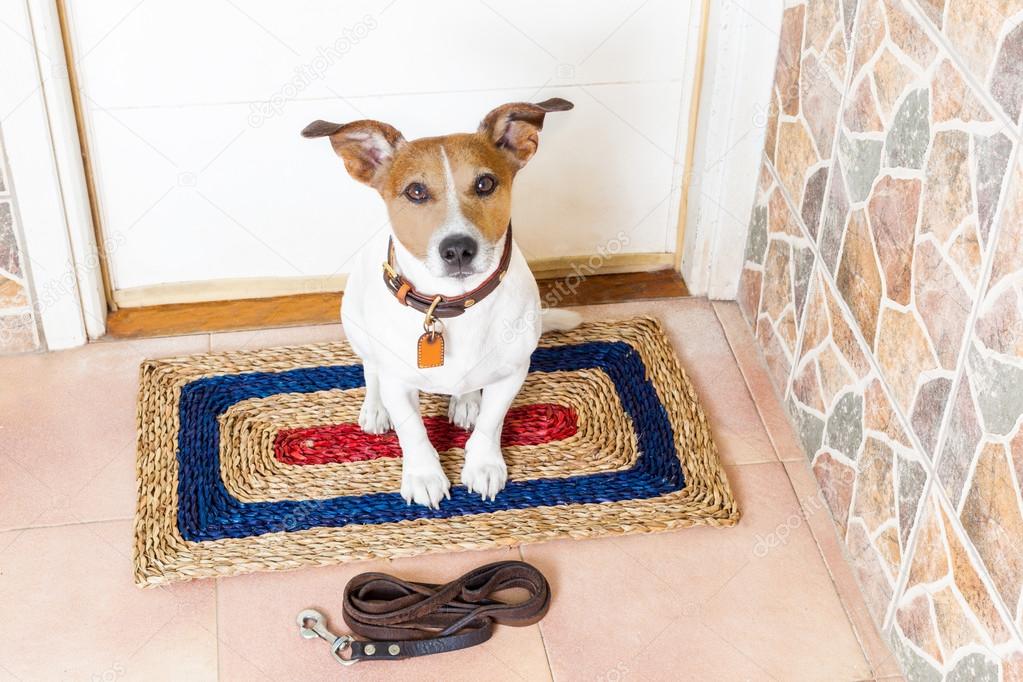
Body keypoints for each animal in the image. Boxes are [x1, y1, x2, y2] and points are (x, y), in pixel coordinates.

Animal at [298, 98, 581, 509]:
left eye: (485, 183)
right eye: (415, 191)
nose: (458, 248)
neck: (452, 303)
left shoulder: (513, 372)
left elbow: (491, 423)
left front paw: (483, 464)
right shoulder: (399, 382)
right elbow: (413, 431)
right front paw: (424, 476)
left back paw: (465, 400)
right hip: (355, 324)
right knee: (371, 369)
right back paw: (375, 407)